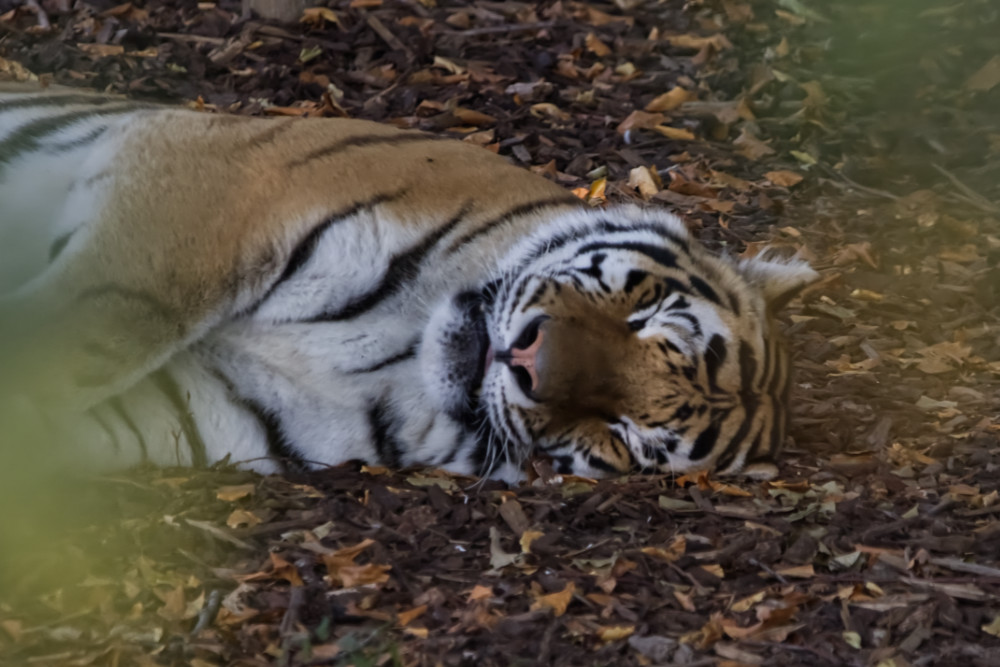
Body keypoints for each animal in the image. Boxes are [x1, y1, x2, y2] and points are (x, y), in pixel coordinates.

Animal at [0, 81, 812, 482]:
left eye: (622, 434)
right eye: (643, 312)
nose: (526, 361)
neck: (393, 352)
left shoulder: (203, 402)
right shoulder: (214, 193)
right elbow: (92, 331)